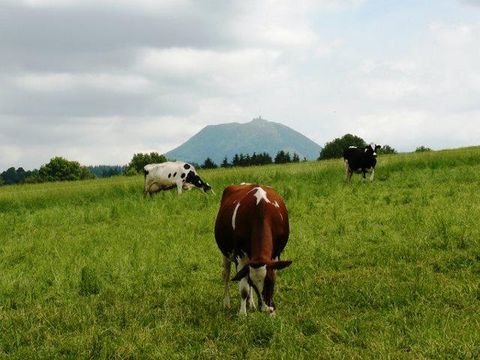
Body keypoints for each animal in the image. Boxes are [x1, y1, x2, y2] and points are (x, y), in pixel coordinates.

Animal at [215, 183, 290, 316]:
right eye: (254, 284)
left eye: (269, 281)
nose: (265, 309)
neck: (261, 211)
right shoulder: (240, 256)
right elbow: (244, 289)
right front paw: (242, 313)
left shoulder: (275, 255)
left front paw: (272, 313)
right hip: (226, 253)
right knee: (226, 275)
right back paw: (227, 303)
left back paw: (251, 304)